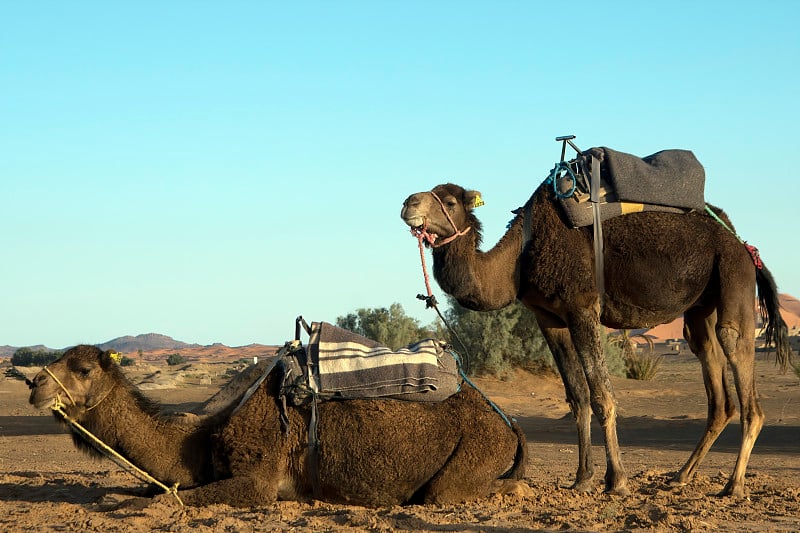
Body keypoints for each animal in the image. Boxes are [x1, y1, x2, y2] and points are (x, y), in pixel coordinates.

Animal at [28, 342, 528, 504]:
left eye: (83, 370)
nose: (35, 384)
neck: (204, 432)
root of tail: (507, 423)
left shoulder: (259, 479)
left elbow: (168, 499)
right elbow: (158, 490)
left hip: (477, 449)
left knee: (450, 492)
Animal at [404, 181, 792, 496]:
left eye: (449, 201)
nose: (409, 203)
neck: (520, 257)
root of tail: (743, 243)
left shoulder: (582, 307)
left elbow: (602, 394)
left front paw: (616, 480)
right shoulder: (550, 318)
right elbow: (577, 397)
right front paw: (582, 478)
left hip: (733, 275)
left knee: (737, 351)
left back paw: (734, 485)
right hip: (700, 307)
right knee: (713, 378)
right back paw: (681, 477)